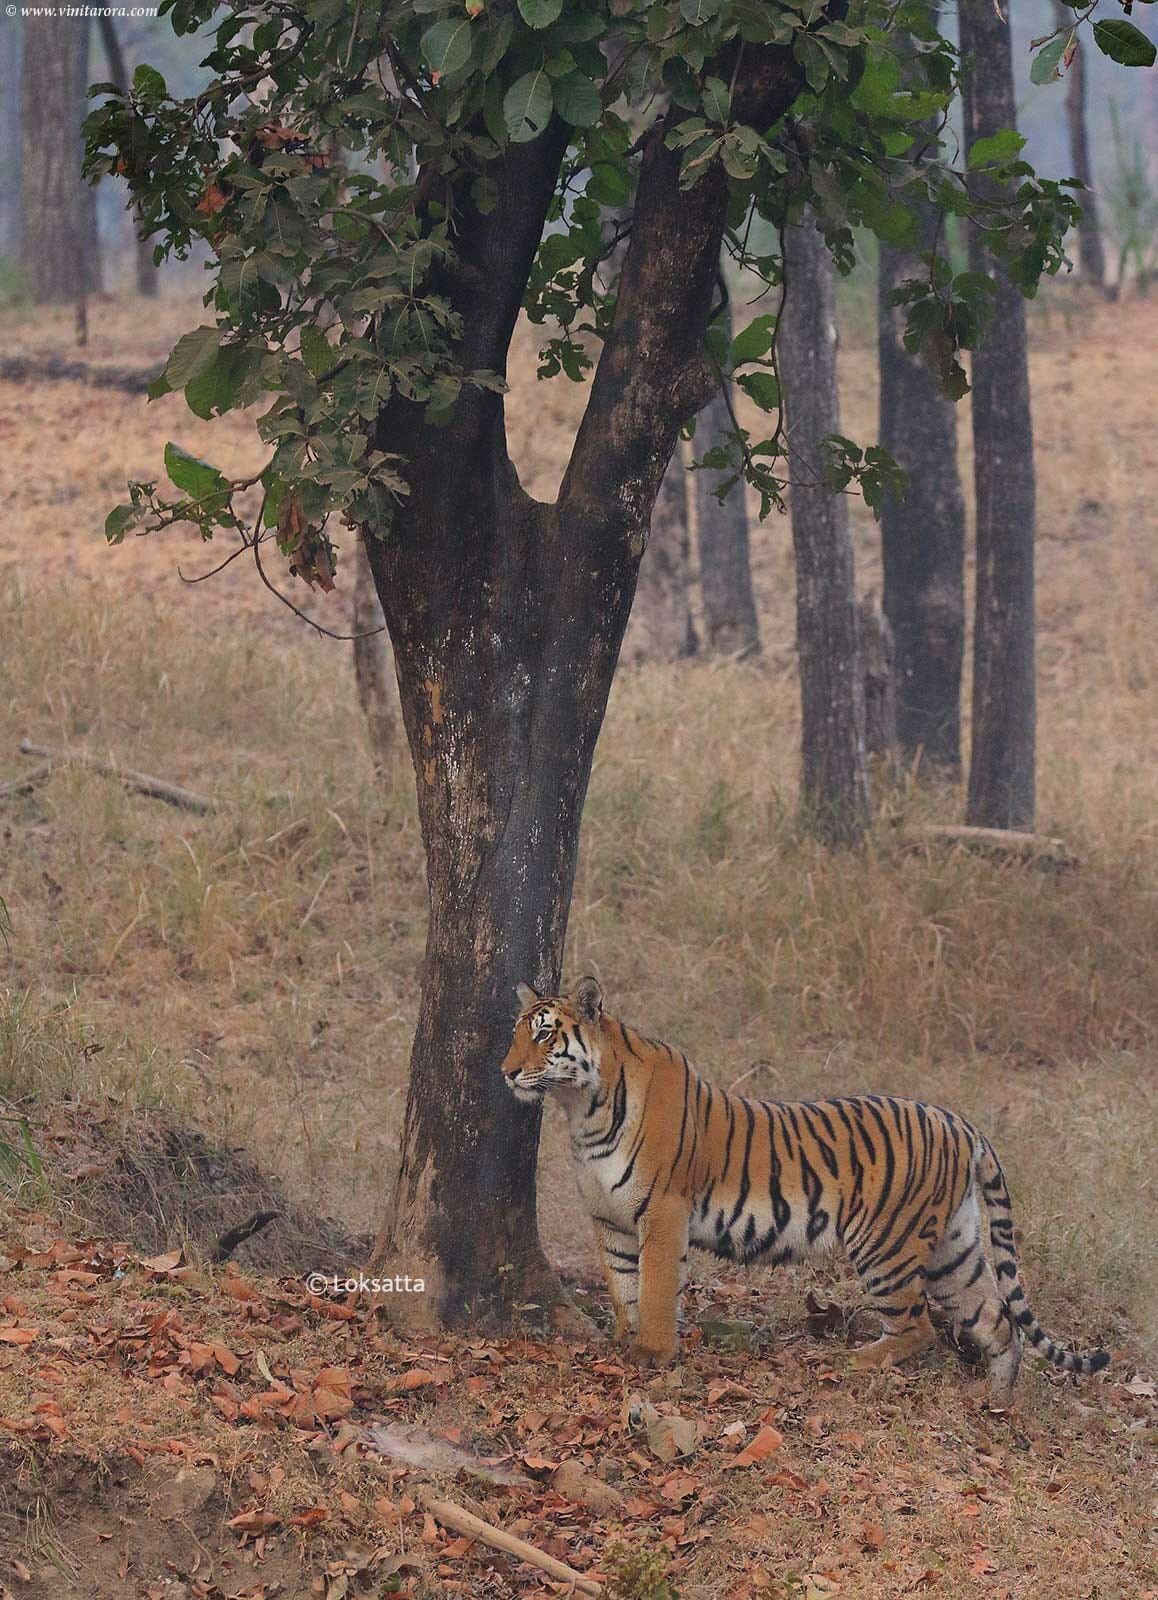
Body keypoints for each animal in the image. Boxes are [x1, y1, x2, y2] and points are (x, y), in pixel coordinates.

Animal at [499, 966, 1113, 1408]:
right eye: (514, 1034)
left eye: (545, 1034)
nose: (505, 1072)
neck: (582, 1109)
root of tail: (961, 1123)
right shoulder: (610, 1218)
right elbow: (624, 1287)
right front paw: (623, 1345)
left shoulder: (664, 1212)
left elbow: (653, 1288)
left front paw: (651, 1353)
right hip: (952, 1249)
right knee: (998, 1320)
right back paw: (998, 1400)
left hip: (886, 1246)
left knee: (919, 1328)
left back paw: (857, 1362)